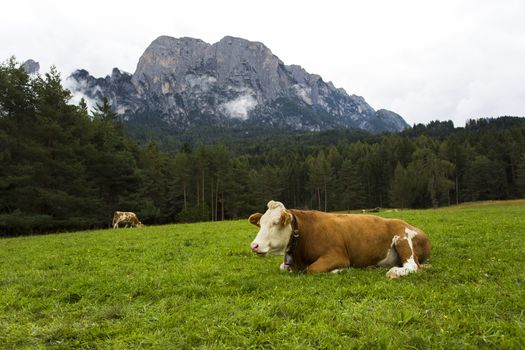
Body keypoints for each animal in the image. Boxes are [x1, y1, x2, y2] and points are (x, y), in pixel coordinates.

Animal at [249, 200, 430, 278]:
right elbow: (283, 267)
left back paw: (394, 272)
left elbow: (313, 269)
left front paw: (341, 270)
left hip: (402, 238)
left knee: (414, 266)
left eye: (275, 222)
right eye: (260, 223)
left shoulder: (337, 256)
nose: (254, 245)